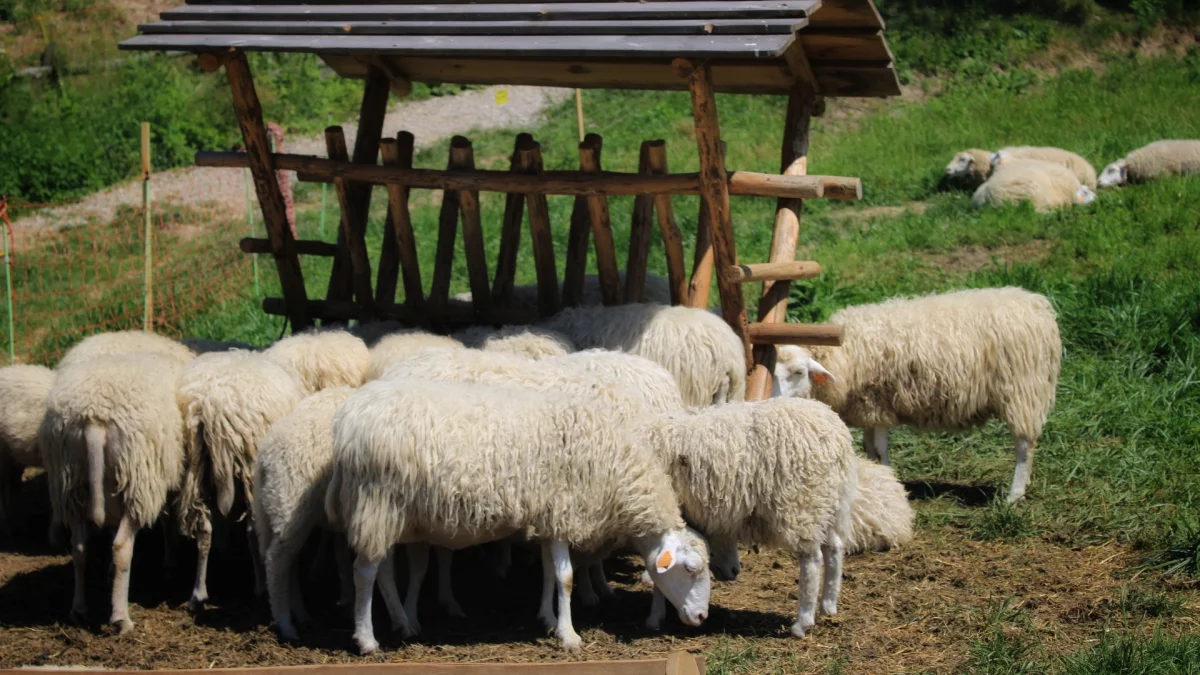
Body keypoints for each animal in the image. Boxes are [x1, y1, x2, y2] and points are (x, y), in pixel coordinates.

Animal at [40, 353, 187, 633]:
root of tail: (93, 418)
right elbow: (165, 521)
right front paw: (170, 561)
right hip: (138, 481)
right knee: (121, 547)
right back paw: (121, 618)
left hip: (69, 483)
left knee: (79, 549)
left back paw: (79, 609)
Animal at [176, 350, 306, 609]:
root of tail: (214, 407)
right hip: (249, 463)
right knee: (252, 528)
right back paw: (260, 587)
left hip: (195, 468)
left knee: (204, 528)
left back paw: (198, 593)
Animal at [325, 378, 711, 654]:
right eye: (691, 570)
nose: (701, 617)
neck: (613, 468)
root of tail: (346, 421)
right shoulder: (563, 511)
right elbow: (565, 577)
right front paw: (569, 636)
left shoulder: (548, 517)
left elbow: (548, 573)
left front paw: (547, 619)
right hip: (377, 502)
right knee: (364, 573)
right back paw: (367, 640)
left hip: (386, 514)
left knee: (384, 572)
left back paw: (403, 623)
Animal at [774, 286, 1062, 502]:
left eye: (799, 372)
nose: (772, 400)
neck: (844, 352)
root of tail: (1038, 306)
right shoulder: (867, 408)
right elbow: (868, 448)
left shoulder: (878, 402)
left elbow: (879, 448)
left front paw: (887, 479)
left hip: (1023, 392)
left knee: (1024, 445)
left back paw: (1014, 496)